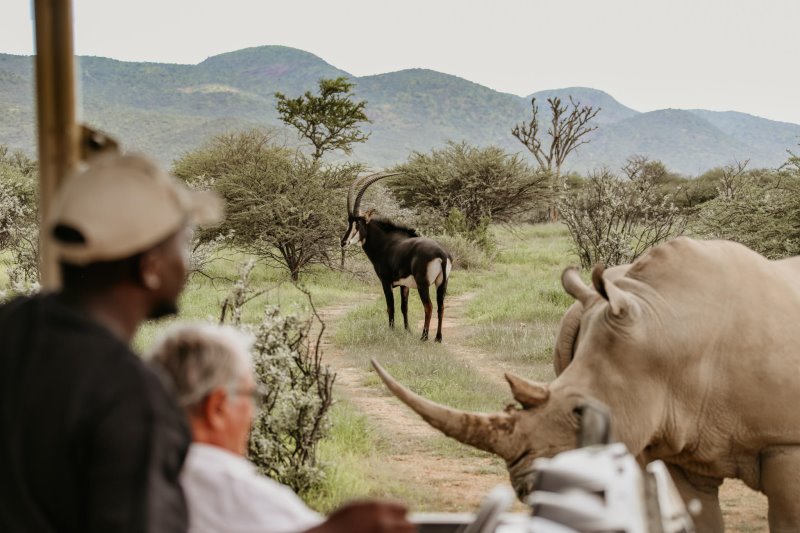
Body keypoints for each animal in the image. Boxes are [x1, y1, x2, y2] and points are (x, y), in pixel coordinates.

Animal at [342, 172, 450, 342]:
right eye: (349, 222)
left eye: (358, 224)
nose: (343, 242)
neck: (385, 242)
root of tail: (442, 254)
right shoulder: (404, 285)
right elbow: (404, 307)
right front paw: (407, 330)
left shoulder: (386, 282)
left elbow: (390, 307)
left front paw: (391, 331)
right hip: (442, 284)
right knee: (441, 306)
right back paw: (438, 338)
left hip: (423, 285)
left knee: (429, 306)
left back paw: (424, 336)